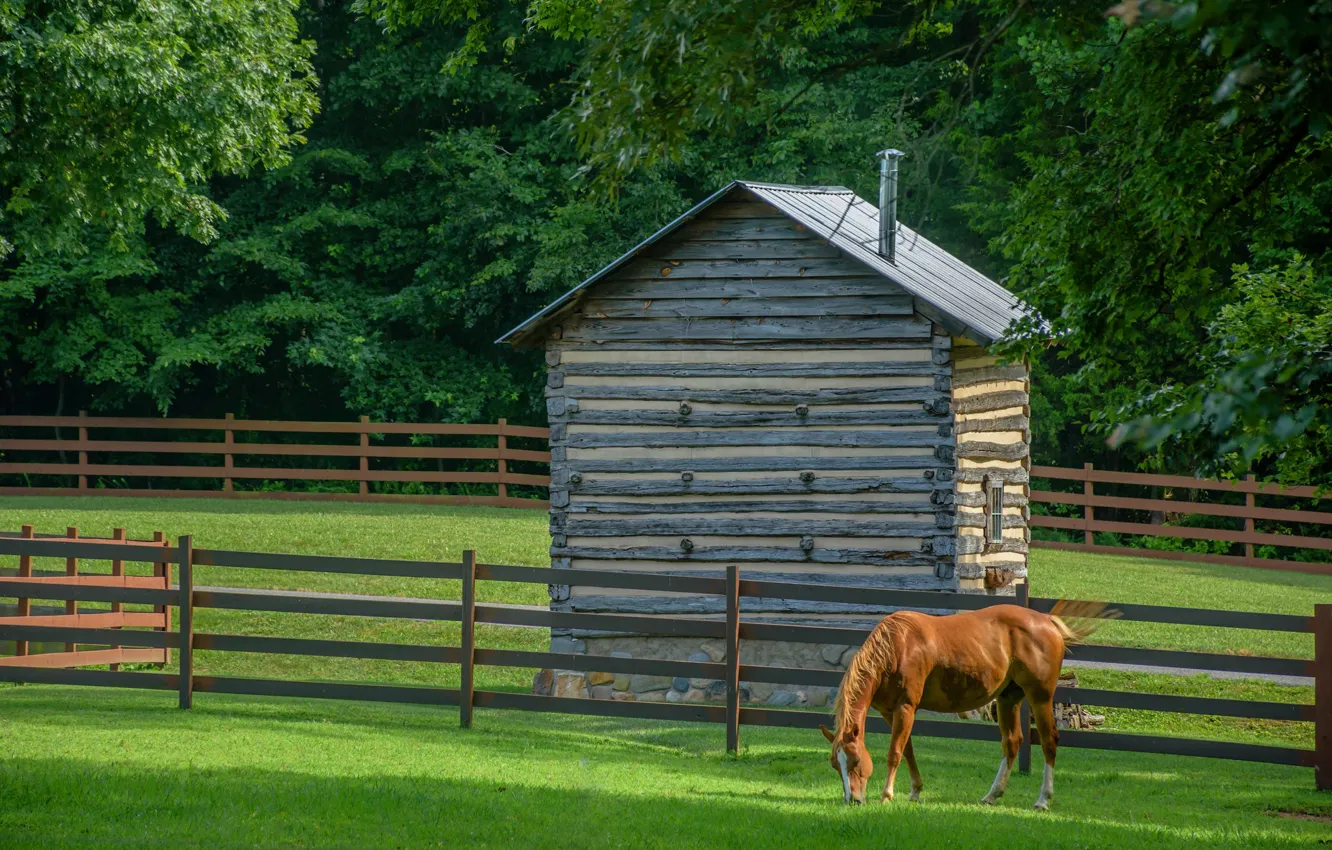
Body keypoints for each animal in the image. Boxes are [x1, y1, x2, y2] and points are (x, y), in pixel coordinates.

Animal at [818, 600, 1112, 811]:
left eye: (856, 761)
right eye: (834, 764)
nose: (853, 800)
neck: (896, 647)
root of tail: (1046, 621)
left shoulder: (905, 708)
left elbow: (895, 752)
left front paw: (887, 795)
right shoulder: (890, 712)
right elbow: (908, 750)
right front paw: (915, 792)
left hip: (1040, 697)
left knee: (1049, 740)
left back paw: (1042, 800)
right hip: (1008, 698)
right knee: (1012, 742)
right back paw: (992, 795)